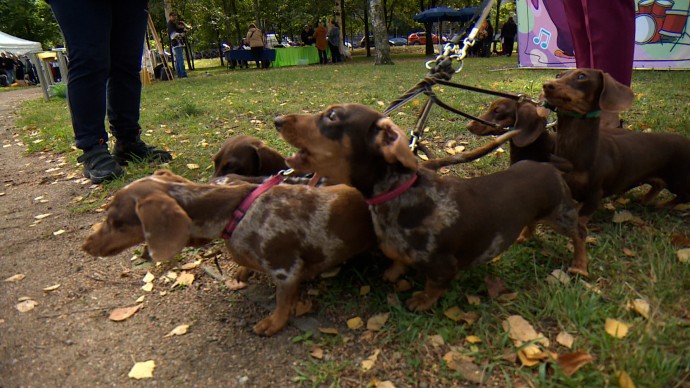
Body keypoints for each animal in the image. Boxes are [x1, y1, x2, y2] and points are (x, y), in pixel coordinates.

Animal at [82, 170, 374, 336]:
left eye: (116, 221)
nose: (85, 245)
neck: (236, 212)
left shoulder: (286, 269)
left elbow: (282, 300)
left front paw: (273, 323)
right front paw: (242, 272)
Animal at [274, 103, 584, 310]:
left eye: (332, 116)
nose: (277, 119)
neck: (402, 194)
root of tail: (549, 165)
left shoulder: (443, 266)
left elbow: (436, 285)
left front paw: (422, 300)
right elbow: (398, 261)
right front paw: (393, 272)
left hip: (561, 214)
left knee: (580, 233)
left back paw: (580, 265)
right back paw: (525, 235)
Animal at [544, 69, 688, 218]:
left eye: (581, 76)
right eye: (558, 75)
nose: (546, 85)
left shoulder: (594, 194)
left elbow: (582, 216)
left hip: (678, 181)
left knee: (683, 197)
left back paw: (664, 205)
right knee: (658, 185)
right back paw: (646, 200)